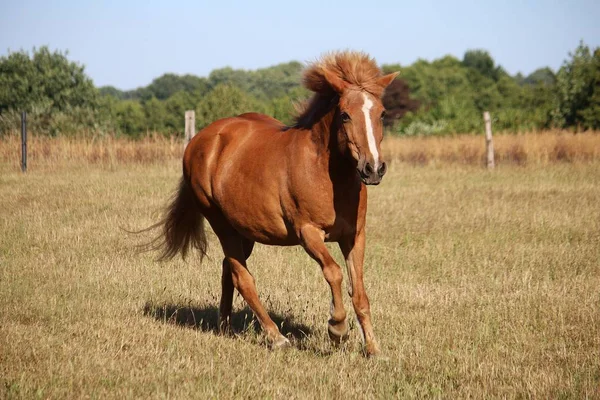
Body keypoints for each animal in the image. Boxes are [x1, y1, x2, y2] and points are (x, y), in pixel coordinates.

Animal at [145, 50, 398, 356]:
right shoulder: (308, 233)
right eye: (345, 115)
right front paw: (337, 329)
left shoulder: (354, 236)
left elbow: (359, 291)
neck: (326, 174)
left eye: (381, 113)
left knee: (229, 269)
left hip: (245, 232)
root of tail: (199, 141)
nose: (373, 169)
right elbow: (334, 273)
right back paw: (276, 337)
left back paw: (225, 327)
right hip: (221, 224)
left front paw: (373, 349)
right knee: (243, 277)